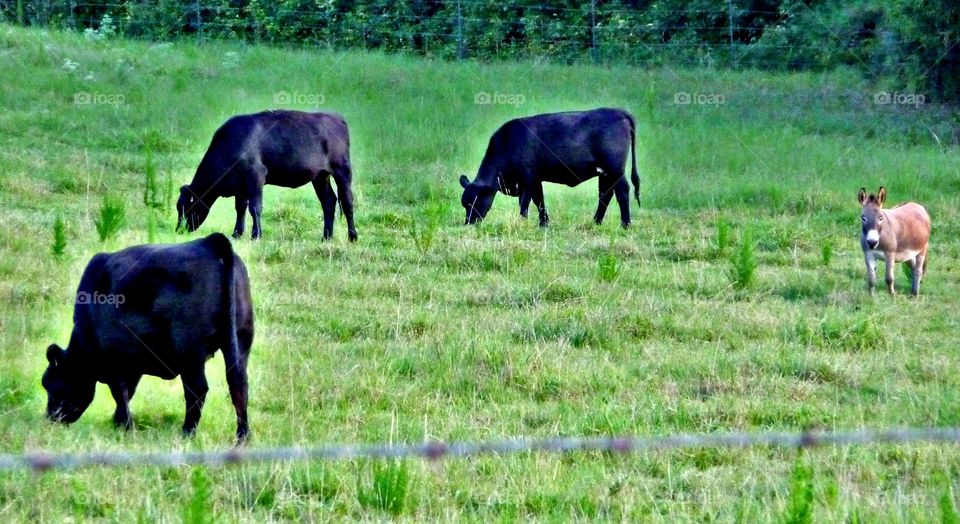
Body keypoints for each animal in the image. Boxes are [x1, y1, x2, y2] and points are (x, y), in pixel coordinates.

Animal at [42, 233, 254, 442]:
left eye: (53, 385)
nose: (50, 418)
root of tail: (210, 242)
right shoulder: (131, 364)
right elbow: (128, 393)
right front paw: (118, 422)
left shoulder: (115, 362)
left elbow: (120, 393)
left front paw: (125, 426)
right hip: (241, 338)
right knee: (239, 384)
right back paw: (242, 435)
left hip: (189, 352)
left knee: (197, 389)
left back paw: (187, 433)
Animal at [177, 110, 357, 241]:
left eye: (185, 207)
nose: (179, 229)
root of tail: (336, 117)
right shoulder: (240, 186)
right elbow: (240, 208)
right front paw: (237, 233)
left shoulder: (256, 176)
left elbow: (255, 207)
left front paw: (256, 235)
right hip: (320, 176)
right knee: (329, 201)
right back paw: (326, 237)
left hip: (342, 170)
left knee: (347, 201)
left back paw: (352, 236)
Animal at [459, 108, 640, 227]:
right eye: (465, 204)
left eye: (476, 202)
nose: (469, 223)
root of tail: (618, 112)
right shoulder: (535, 180)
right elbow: (539, 200)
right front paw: (543, 223)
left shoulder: (528, 179)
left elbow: (525, 203)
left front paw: (522, 222)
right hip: (605, 173)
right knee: (605, 194)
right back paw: (596, 221)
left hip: (615, 169)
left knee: (622, 192)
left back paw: (625, 224)